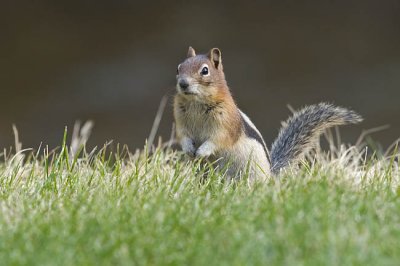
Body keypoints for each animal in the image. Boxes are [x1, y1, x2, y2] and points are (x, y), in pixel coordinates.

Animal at [173, 46, 362, 180]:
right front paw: (189, 149)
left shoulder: (226, 123)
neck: (196, 103)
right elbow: (183, 135)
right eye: (178, 68)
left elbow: (218, 139)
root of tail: (272, 175)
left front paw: (202, 151)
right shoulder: (181, 121)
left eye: (205, 70)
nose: (183, 83)